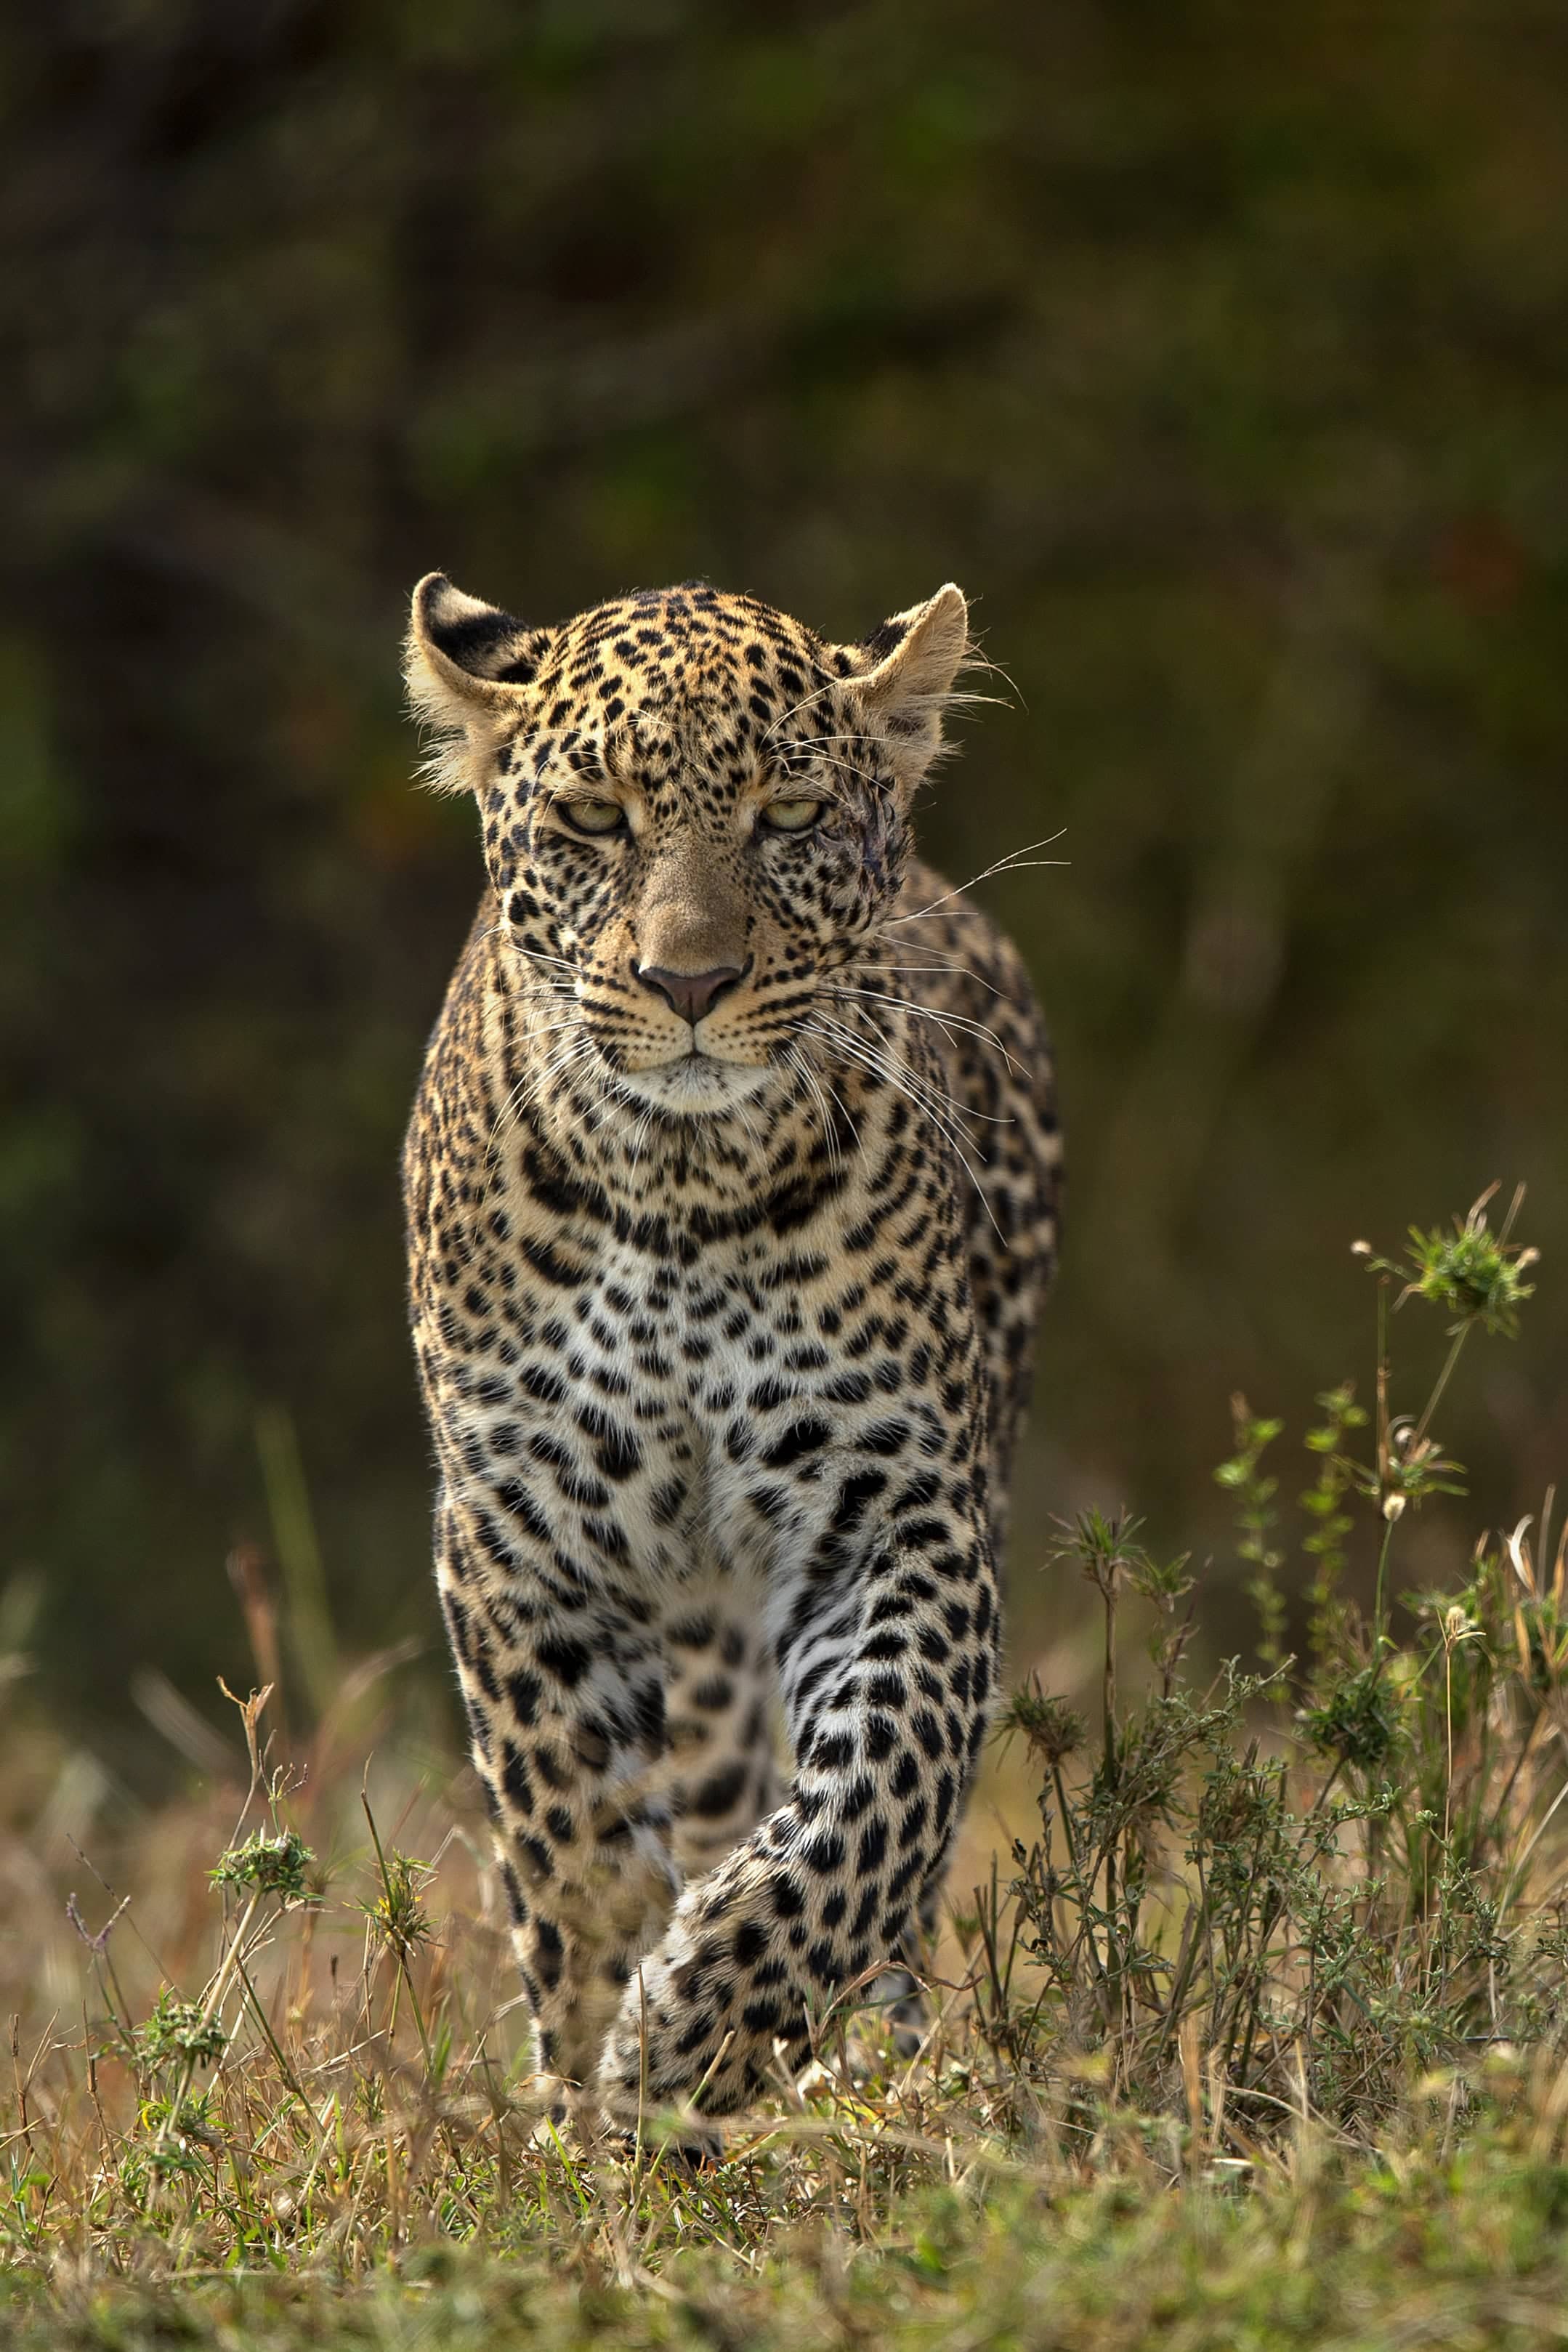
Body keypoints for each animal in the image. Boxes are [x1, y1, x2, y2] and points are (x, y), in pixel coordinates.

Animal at [401, 569, 1060, 2131]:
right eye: (592, 817)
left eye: (792, 813)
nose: (686, 981)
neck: (685, 1192)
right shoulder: (519, 1533)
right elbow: (572, 1844)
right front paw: (589, 2100)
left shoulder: (893, 1504)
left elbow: (882, 1783)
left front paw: (705, 2025)